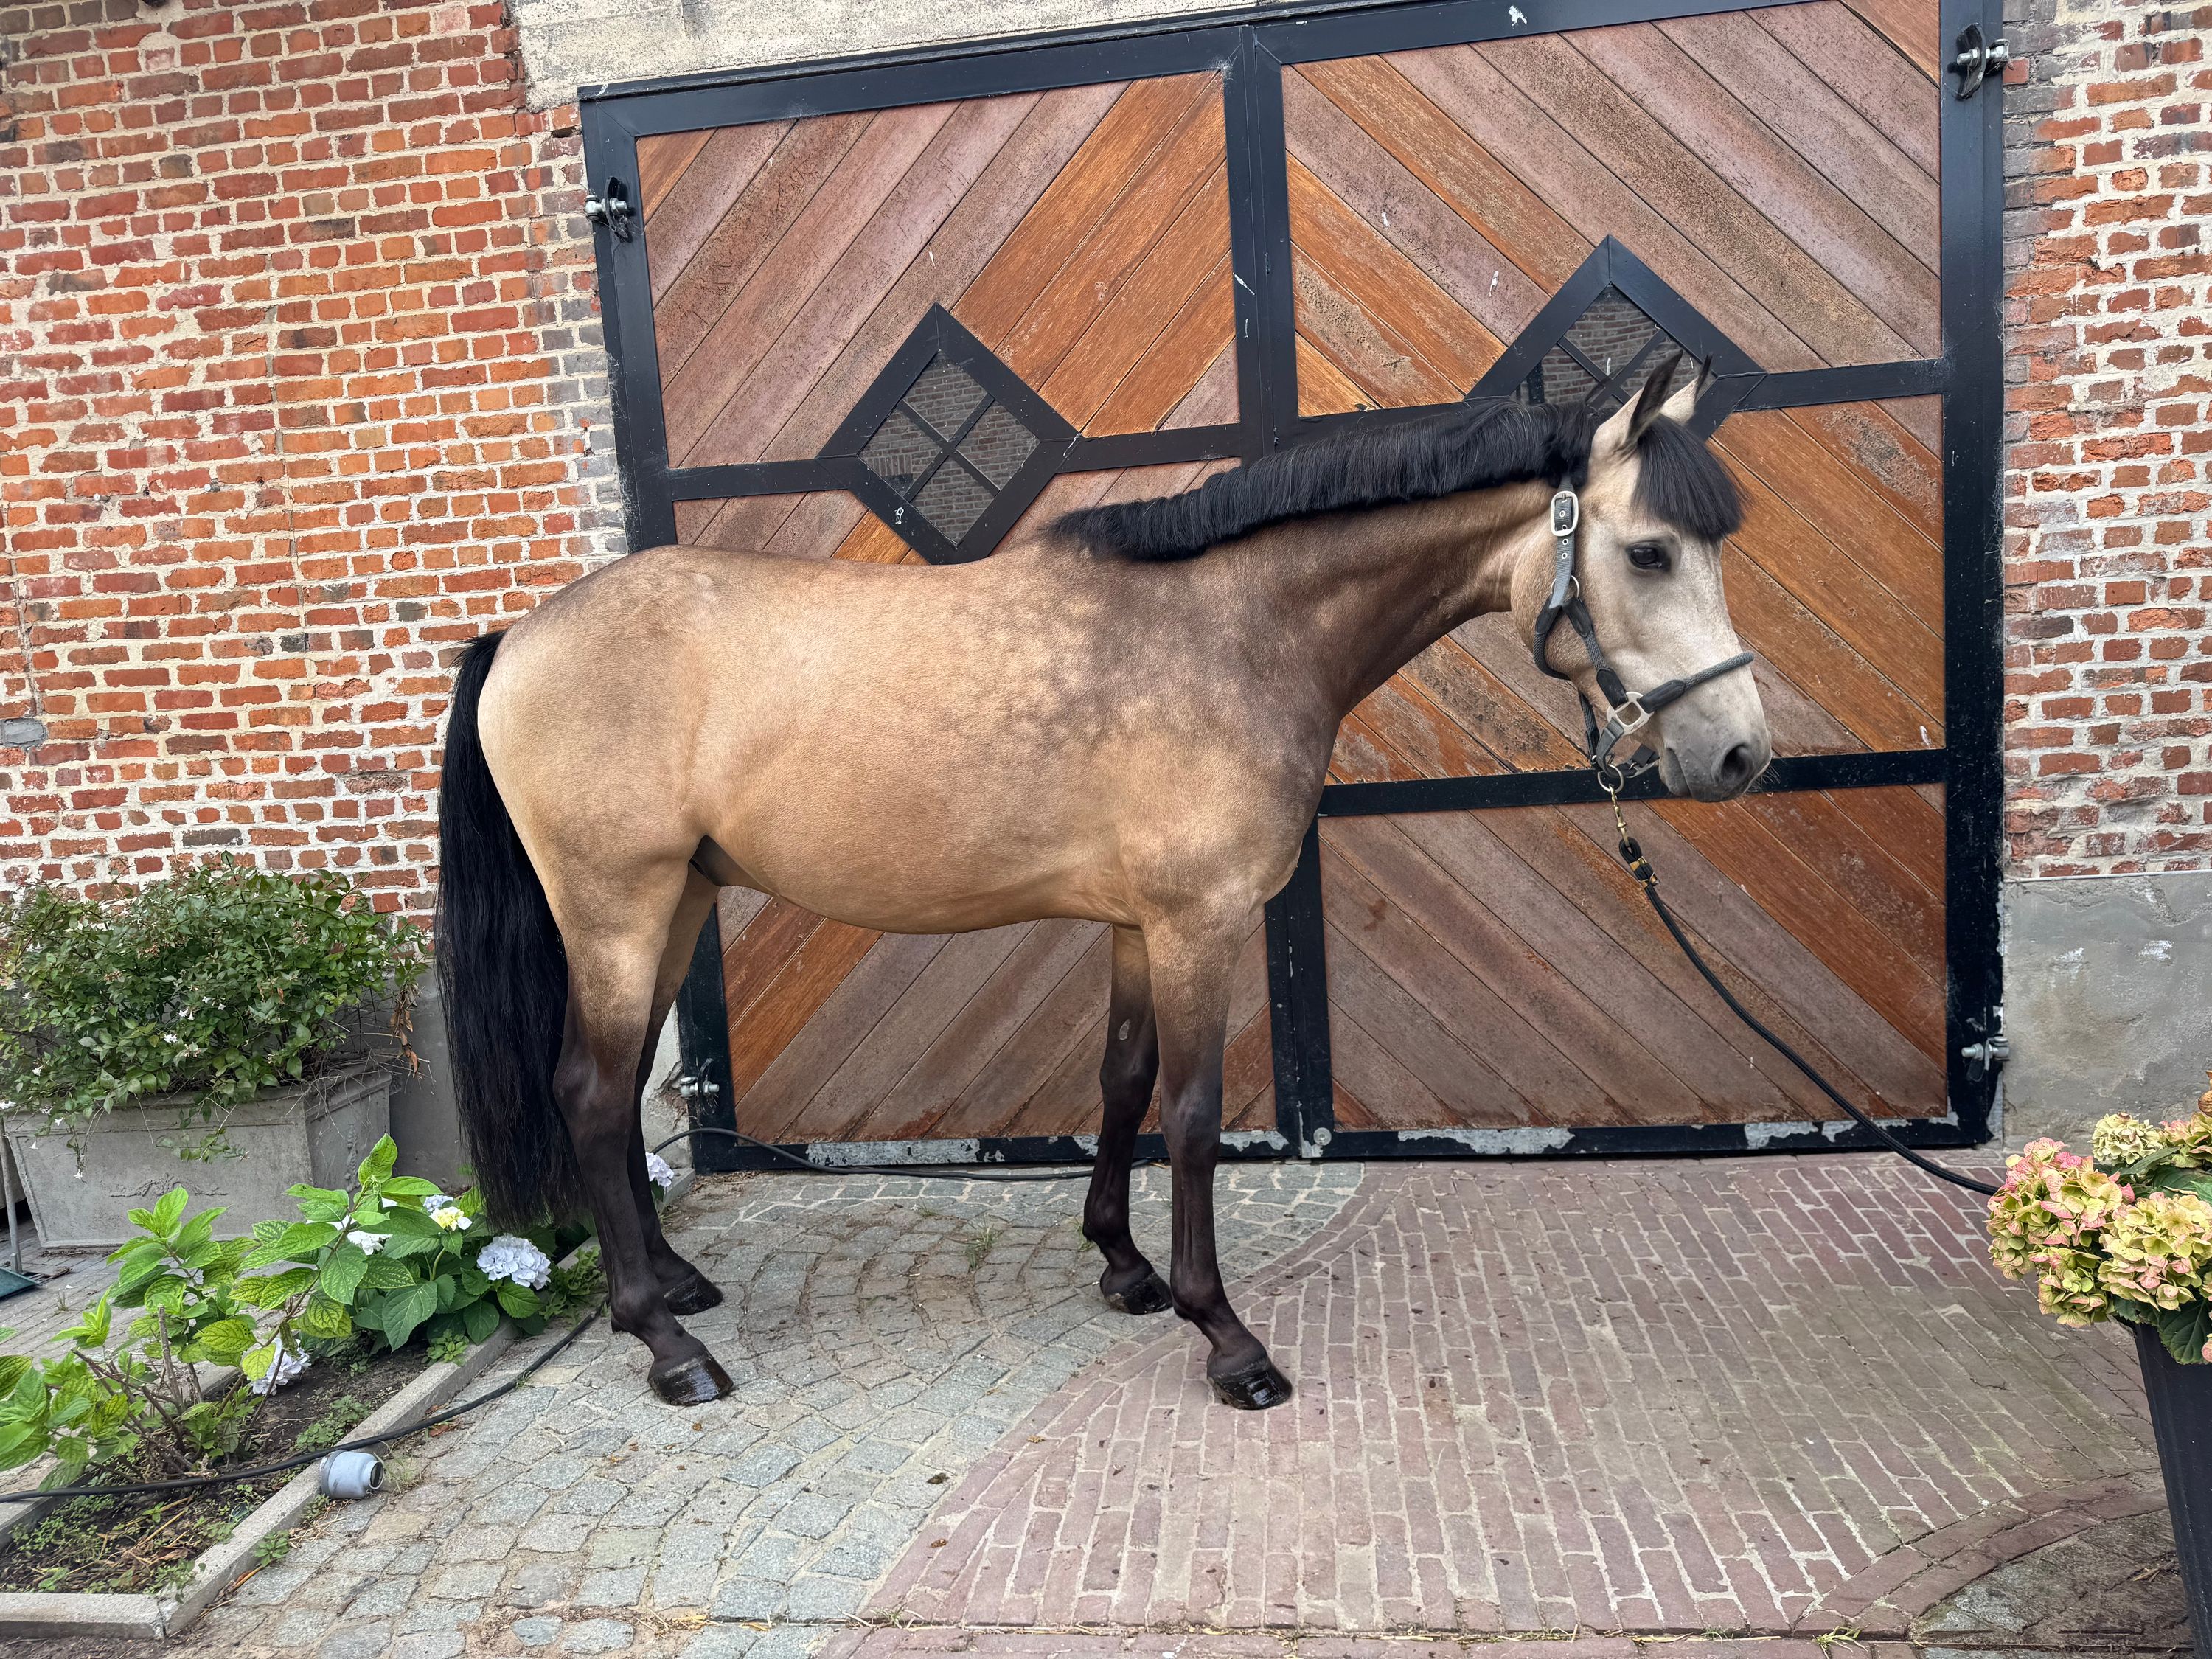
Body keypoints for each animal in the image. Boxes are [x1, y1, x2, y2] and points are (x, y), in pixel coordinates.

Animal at [433, 356, 1768, 1410]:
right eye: (1649, 550)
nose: (1743, 754)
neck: (1232, 631)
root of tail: (520, 636)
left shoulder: (1139, 924)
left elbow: (1124, 1084)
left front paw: (1122, 1267)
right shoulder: (1201, 921)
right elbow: (1190, 1115)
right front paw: (1226, 1338)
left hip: (677, 905)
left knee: (617, 1097)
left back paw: (675, 1283)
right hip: (616, 909)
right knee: (591, 1094)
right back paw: (665, 1342)